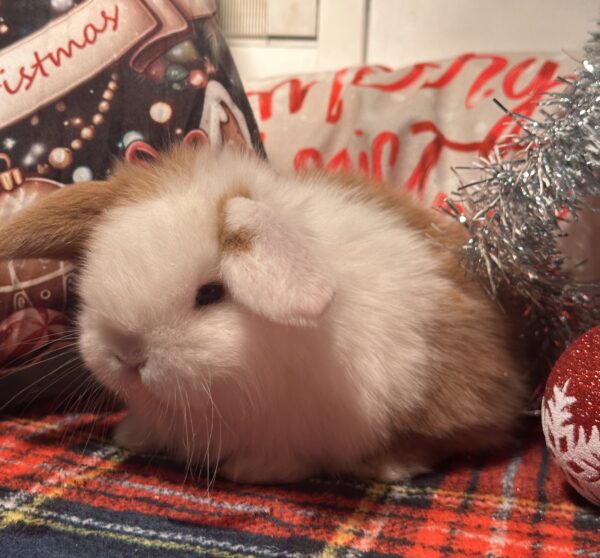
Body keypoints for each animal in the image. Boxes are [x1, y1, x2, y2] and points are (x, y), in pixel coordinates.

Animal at [0, 144, 528, 484]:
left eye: (211, 293)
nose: (127, 356)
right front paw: (130, 437)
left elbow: (289, 459)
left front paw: (249, 471)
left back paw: (387, 466)